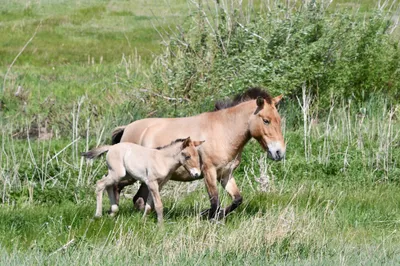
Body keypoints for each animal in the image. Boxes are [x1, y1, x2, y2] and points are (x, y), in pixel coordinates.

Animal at [112, 88, 286, 219]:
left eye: (279, 120)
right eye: (266, 120)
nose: (279, 152)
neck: (224, 132)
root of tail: (126, 129)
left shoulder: (225, 174)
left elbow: (237, 199)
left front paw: (210, 215)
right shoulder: (209, 172)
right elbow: (215, 202)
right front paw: (209, 217)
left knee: (139, 199)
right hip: (129, 175)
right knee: (117, 187)